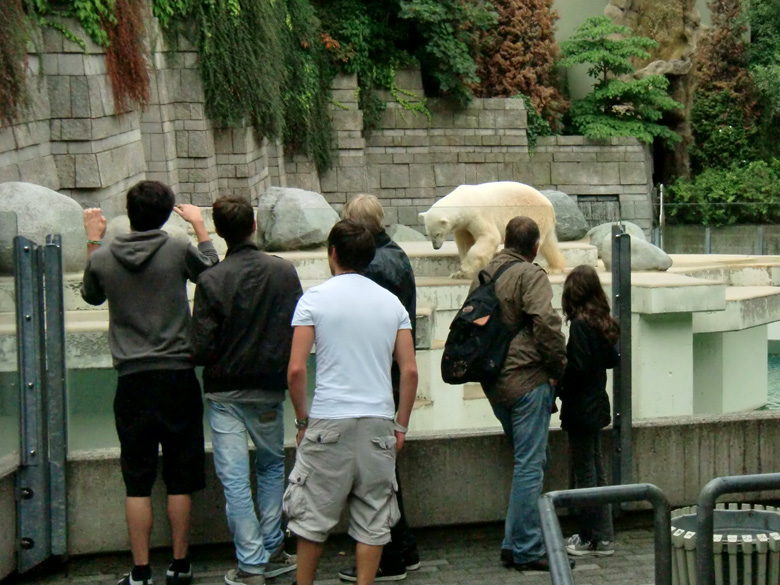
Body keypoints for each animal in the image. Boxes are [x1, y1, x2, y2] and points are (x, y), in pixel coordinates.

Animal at [418, 181, 564, 280]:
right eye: (429, 234)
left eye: (438, 233)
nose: (436, 247)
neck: (464, 201)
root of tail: (550, 205)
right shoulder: (463, 224)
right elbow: (465, 243)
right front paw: (458, 274)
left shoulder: (478, 214)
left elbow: (489, 236)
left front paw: (465, 268)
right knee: (548, 245)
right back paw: (554, 267)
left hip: (534, 214)